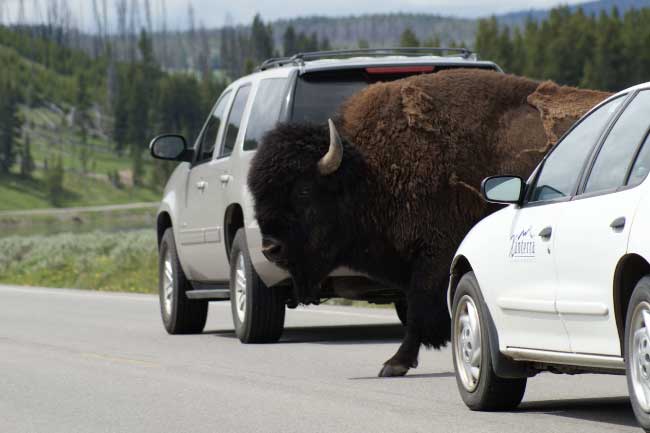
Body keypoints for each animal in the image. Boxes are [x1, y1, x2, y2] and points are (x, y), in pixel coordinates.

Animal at [246, 68, 612, 374]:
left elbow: (418, 310)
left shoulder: (434, 256)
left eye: (304, 191)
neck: (368, 170)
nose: (270, 248)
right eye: (257, 194)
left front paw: (395, 363)